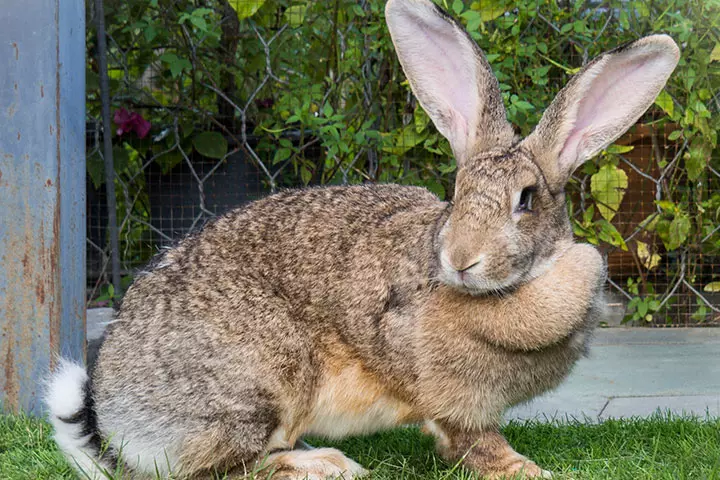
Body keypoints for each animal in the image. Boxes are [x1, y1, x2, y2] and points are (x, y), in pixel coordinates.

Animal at [46, 0, 680, 478]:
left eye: (526, 200)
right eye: (456, 192)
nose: (460, 260)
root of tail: (114, 416)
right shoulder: (453, 399)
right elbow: (473, 441)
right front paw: (527, 470)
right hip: (258, 384)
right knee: (220, 470)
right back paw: (324, 465)